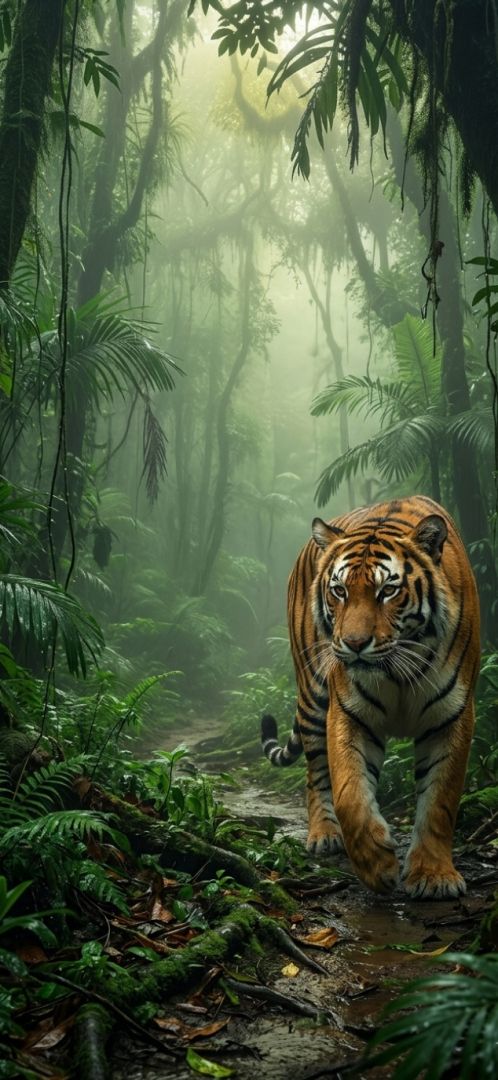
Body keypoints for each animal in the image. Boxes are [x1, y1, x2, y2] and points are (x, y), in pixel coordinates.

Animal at [261, 496, 480, 898]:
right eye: (340, 591)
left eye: (387, 591)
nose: (354, 644)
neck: (398, 672)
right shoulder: (349, 712)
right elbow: (350, 793)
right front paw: (376, 864)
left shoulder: (452, 716)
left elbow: (440, 801)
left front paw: (434, 876)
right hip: (312, 694)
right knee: (315, 772)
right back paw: (324, 835)